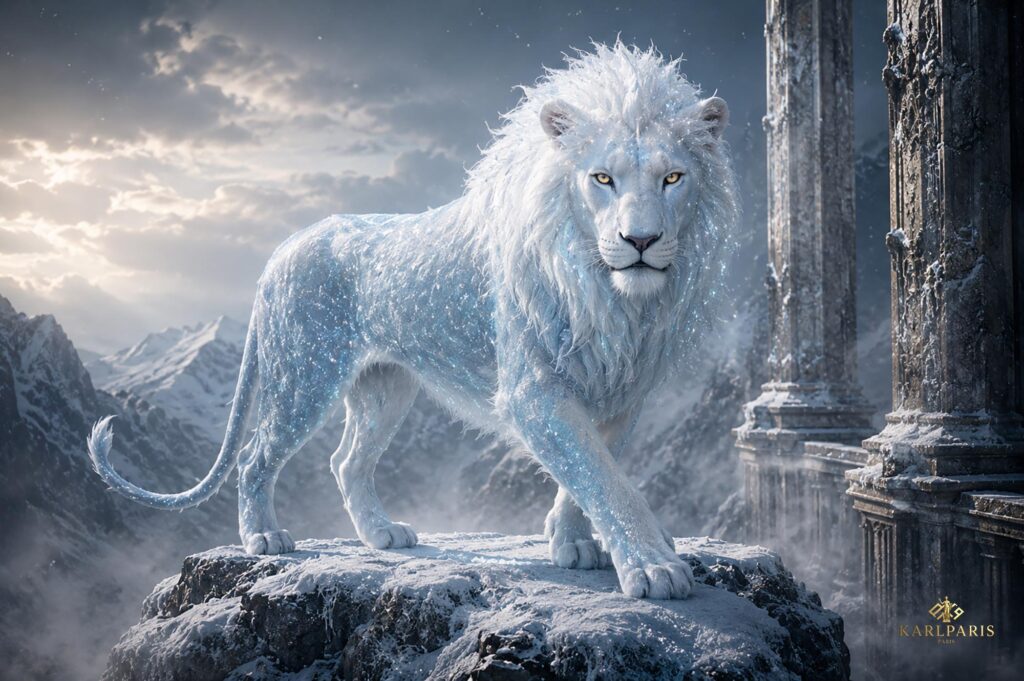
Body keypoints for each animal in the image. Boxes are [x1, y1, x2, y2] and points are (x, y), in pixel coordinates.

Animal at [88, 41, 737, 600]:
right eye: (602, 178)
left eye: (672, 178)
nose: (640, 241)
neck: (613, 297)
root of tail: (286, 245)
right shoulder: (533, 392)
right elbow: (605, 480)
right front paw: (654, 568)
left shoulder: (622, 392)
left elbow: (591, 475)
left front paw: (571, 544)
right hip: (303, 376)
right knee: (255, 456)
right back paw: (263, 538)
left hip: (385, 388)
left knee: (346, 461)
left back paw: (382, 536)